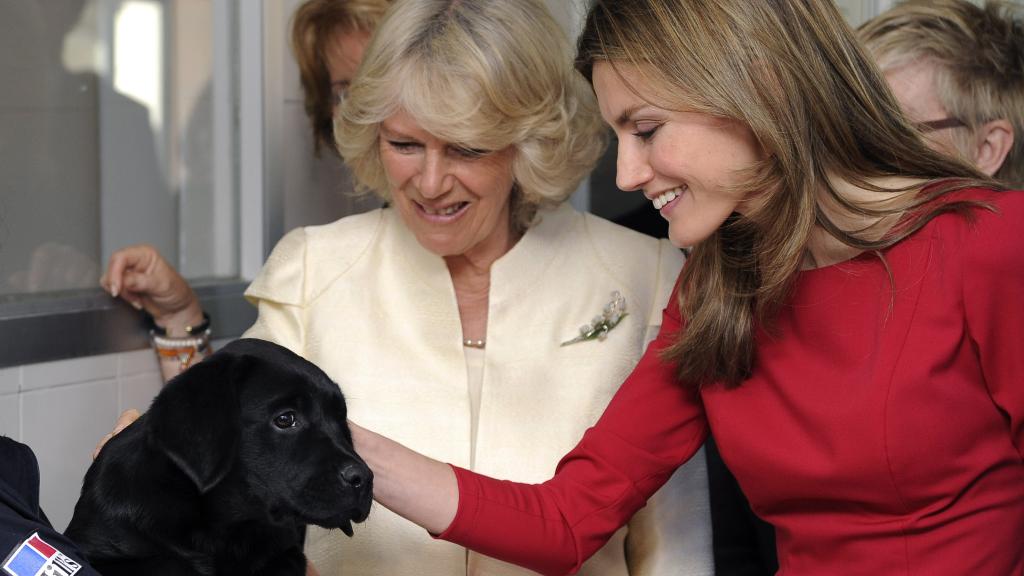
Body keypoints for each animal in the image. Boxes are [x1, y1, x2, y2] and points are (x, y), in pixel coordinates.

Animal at [62, 336, 372, 573]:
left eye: (341, 420)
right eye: (286, 419)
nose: (365, 479)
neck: (225, 531)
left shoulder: (286, 552)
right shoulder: (100, 547)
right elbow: (168, 563)